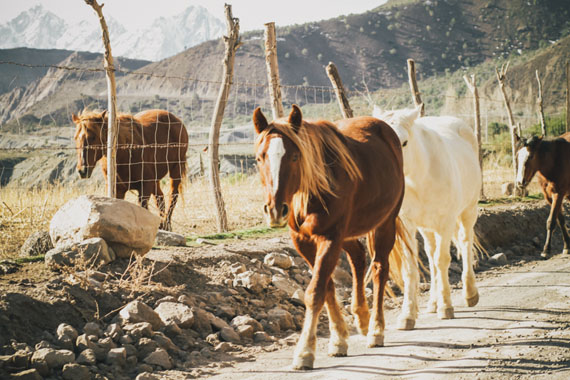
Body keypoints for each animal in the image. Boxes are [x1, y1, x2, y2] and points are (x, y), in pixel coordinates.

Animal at [254, 105, 408, 370]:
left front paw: (305, 351)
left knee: (379, 269)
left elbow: (315, 291)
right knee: (358, 256)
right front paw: (338, 339)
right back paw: (362, 317)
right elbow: (326, 287)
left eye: (295, 156)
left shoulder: (330, 237)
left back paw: (376, 330)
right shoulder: (303, 241)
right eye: (259, 158)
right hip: (348, 233)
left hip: (384, 224)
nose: (275, 210)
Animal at [372, 104, 480, 330]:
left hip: (468, 210)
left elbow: (442, 260)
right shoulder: (408, 225)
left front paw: (446, 307)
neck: (421, 178)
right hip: (427, 227)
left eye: (403, 142)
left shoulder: (446, 222)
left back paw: (469, 294)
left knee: (465, 243)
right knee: (430, 255)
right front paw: (408, 315)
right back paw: (432, 302)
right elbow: (411, 267)